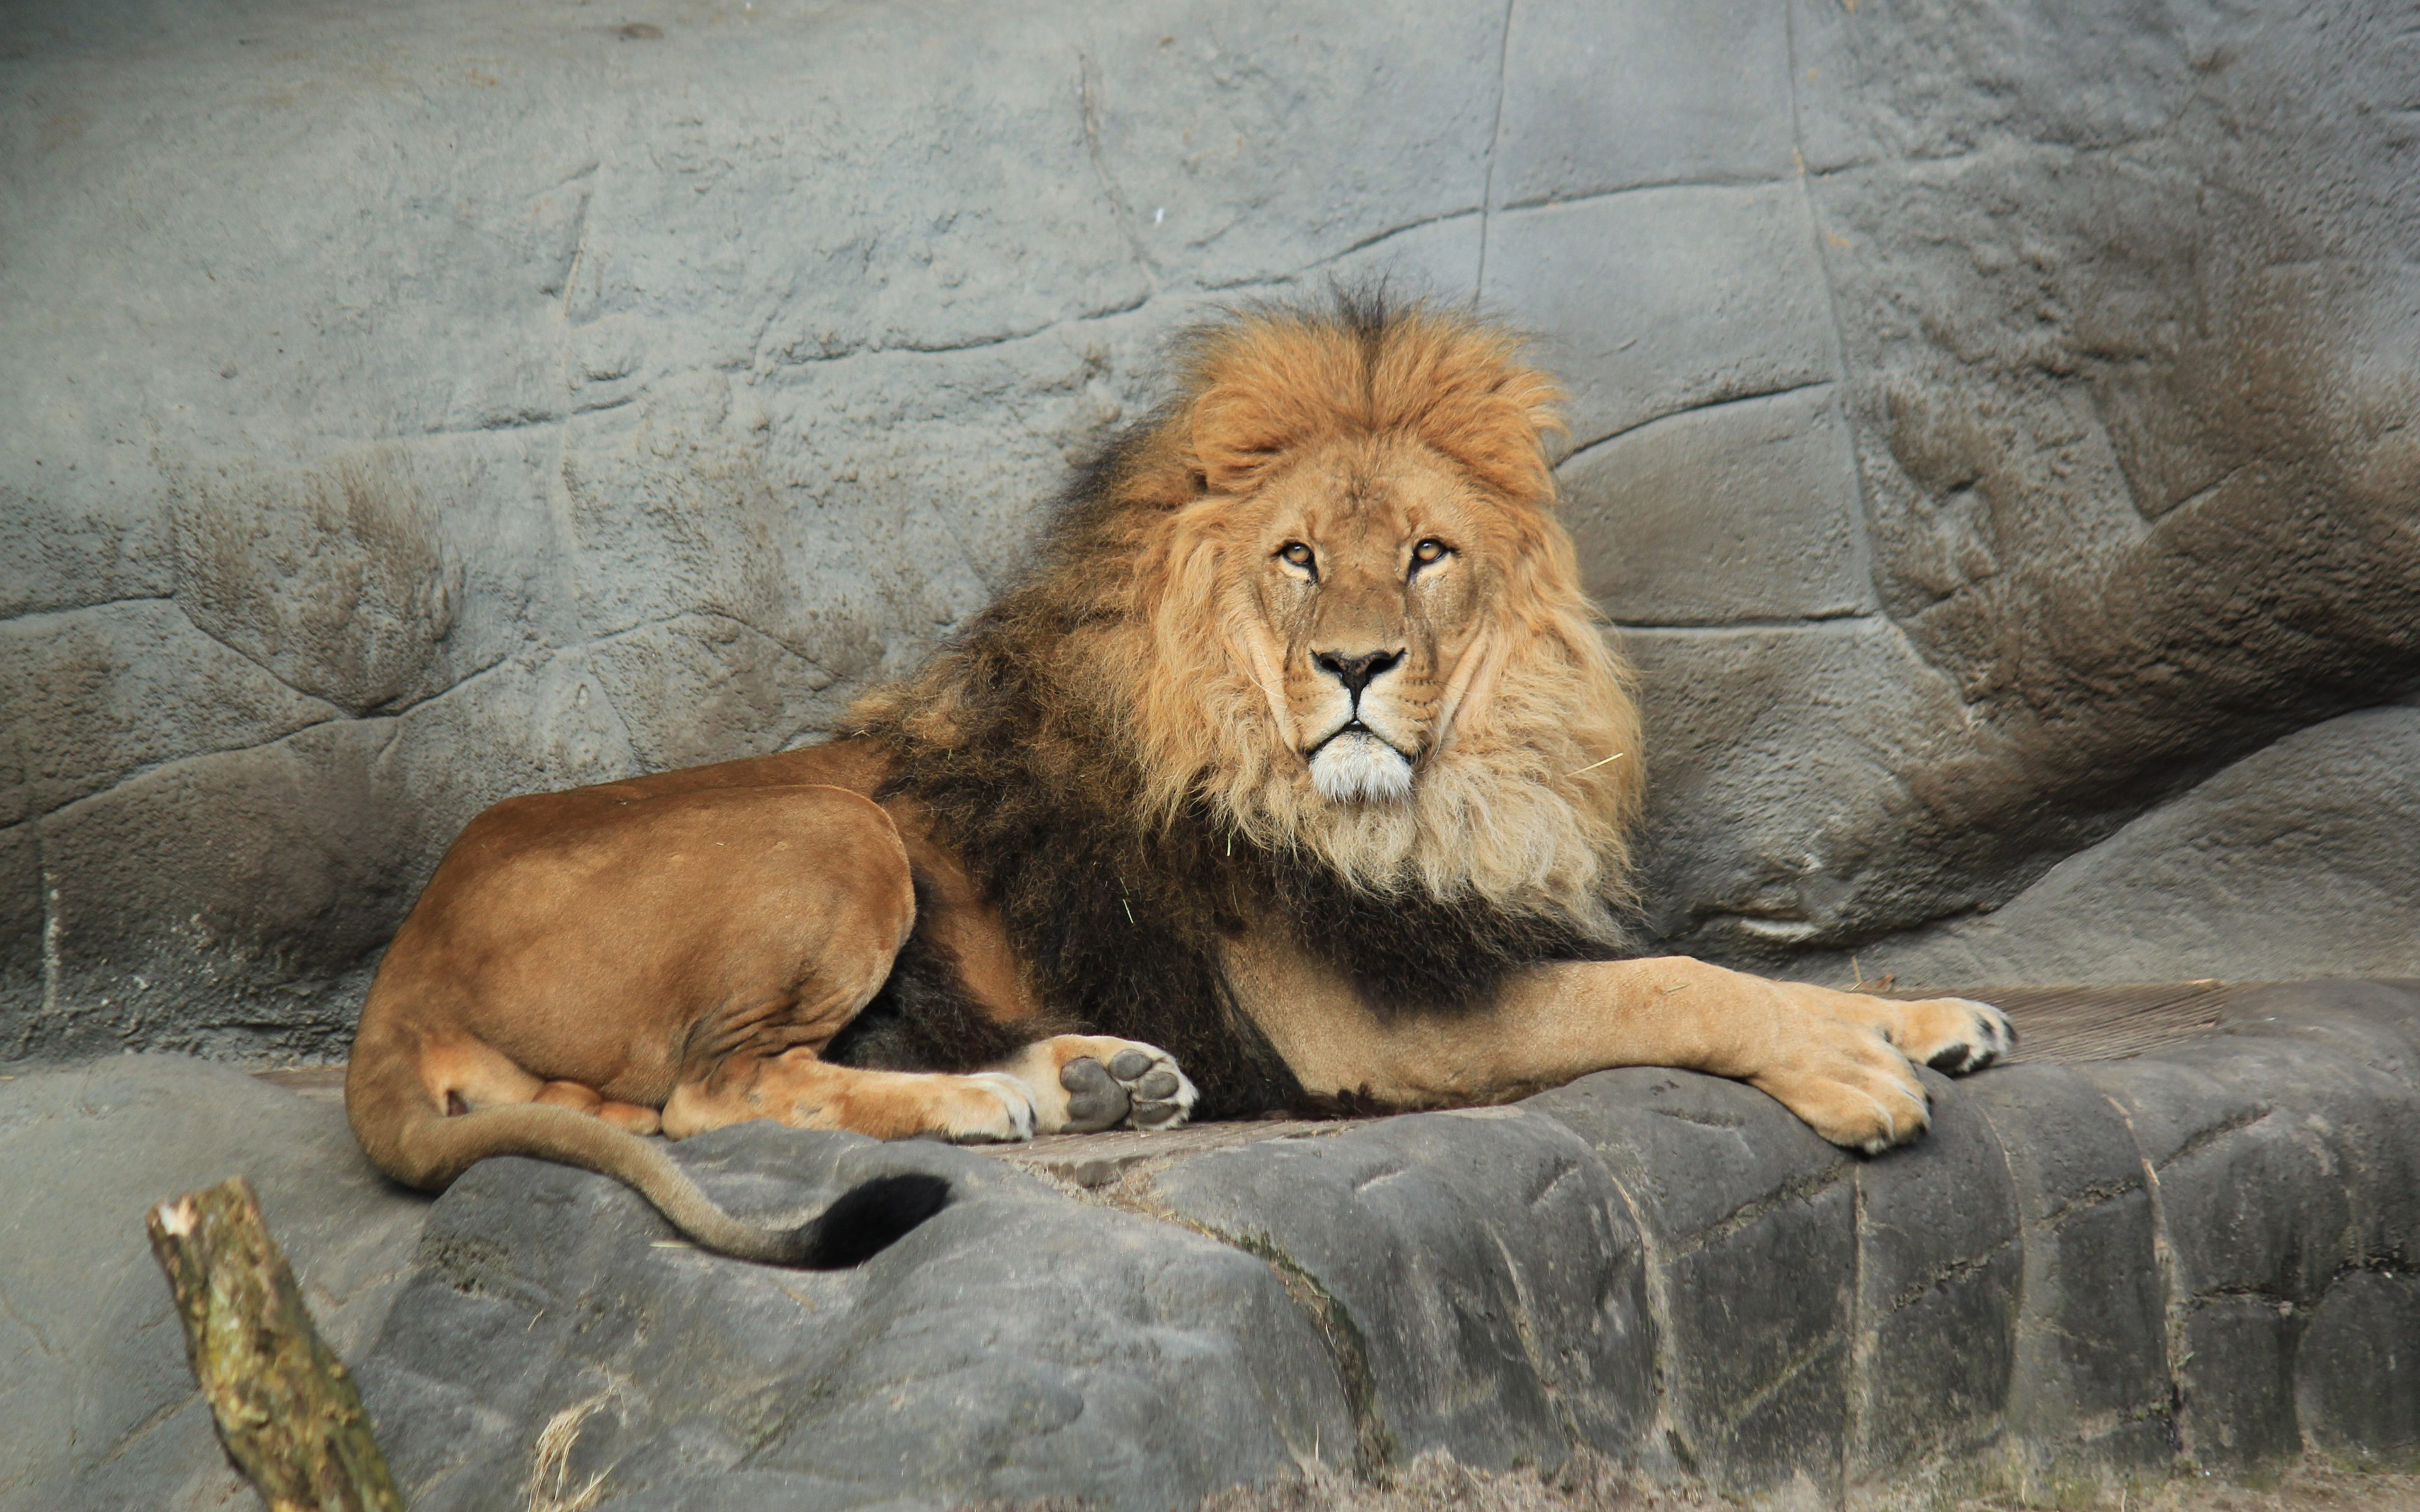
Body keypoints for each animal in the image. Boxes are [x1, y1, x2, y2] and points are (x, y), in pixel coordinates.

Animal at [336, 295, 2003, 1257]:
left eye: (1425, 554)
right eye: (1298, 558)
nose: (1355, 666)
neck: (1434, 802)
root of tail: (401, 967)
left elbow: (1737, 968)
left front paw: (1924, 1013)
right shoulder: (1372, 1021)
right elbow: (1672, 982)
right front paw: (1857, 1073)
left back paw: (1090, 1074)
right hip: (832, 827)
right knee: (707, 1093)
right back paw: (993, 1100)